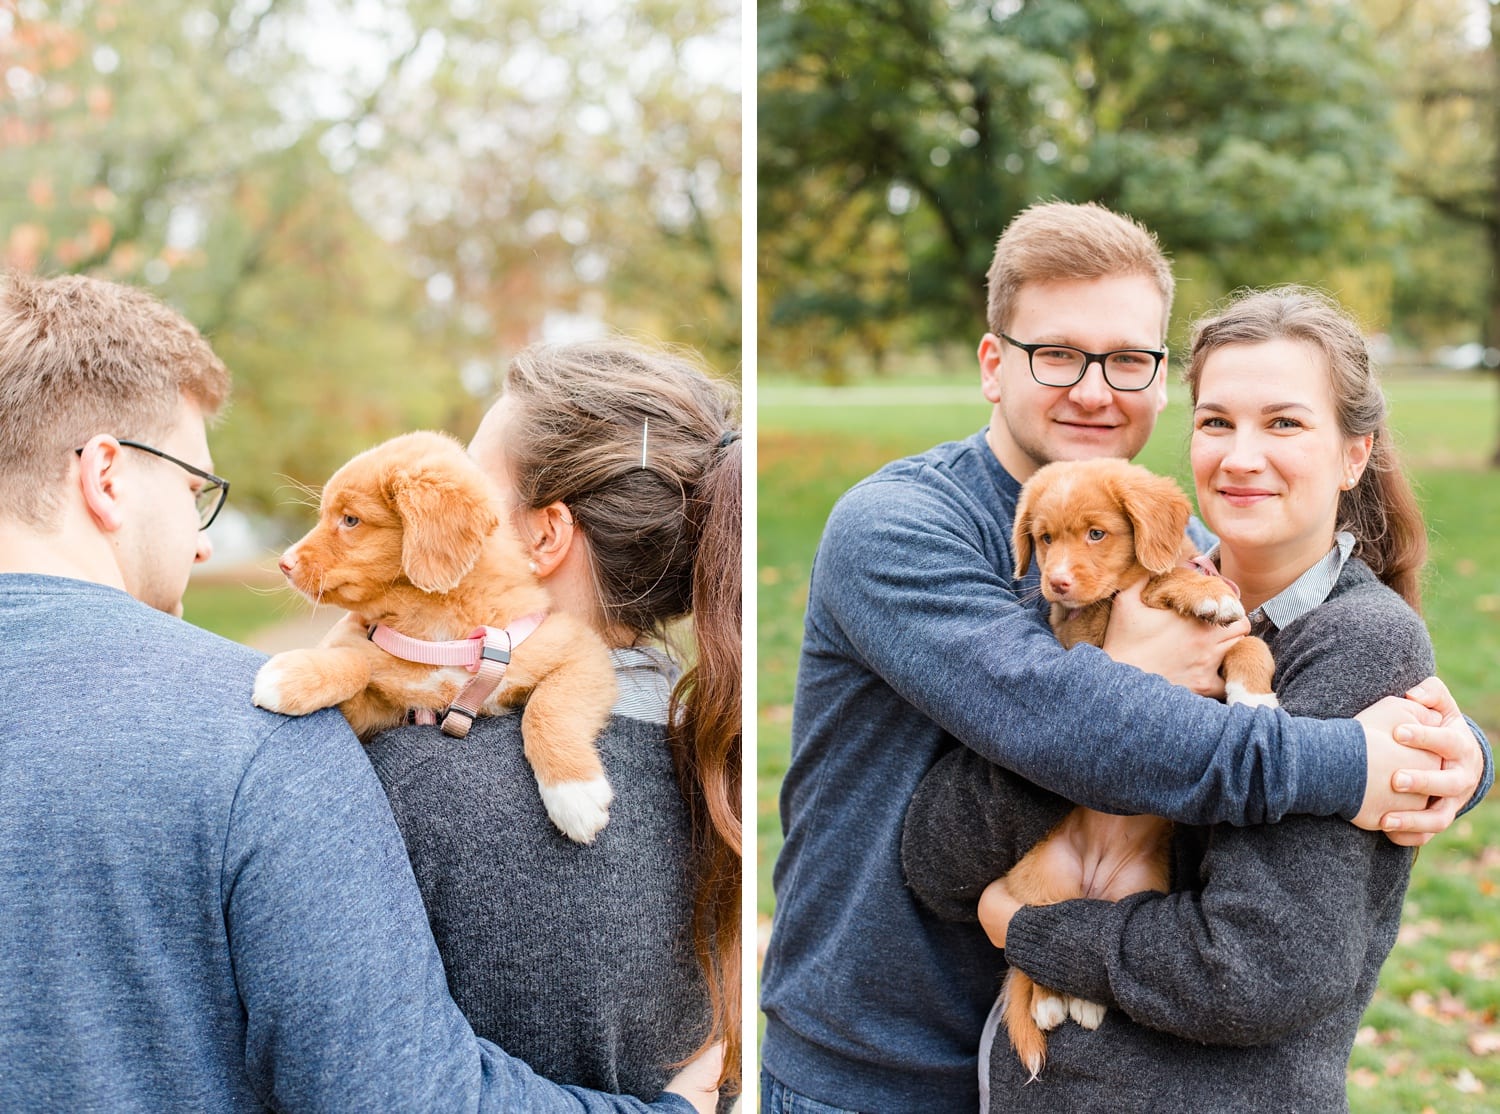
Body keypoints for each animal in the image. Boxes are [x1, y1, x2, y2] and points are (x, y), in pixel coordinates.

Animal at [255, 431, 618, 839]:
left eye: (350, 520)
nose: (283, 563)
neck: (440, 637)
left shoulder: (579, 649)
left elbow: (548, 707)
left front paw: (574, 793)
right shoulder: (377, 712)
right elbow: (358, 658)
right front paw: (294, 677)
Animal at [996, 458, 1278, 1073]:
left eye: (1097, 534)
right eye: (1043, 539)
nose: (1056, 583)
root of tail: (1091, 877)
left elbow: (1250, 644)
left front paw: (1254, 697)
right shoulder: (1087, 633)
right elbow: (1154, 583)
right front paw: (1203, 592)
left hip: (1131, 891)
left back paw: (1085, 1003)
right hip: (1045, 883)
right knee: (1033, 944)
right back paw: (1050, 1002)